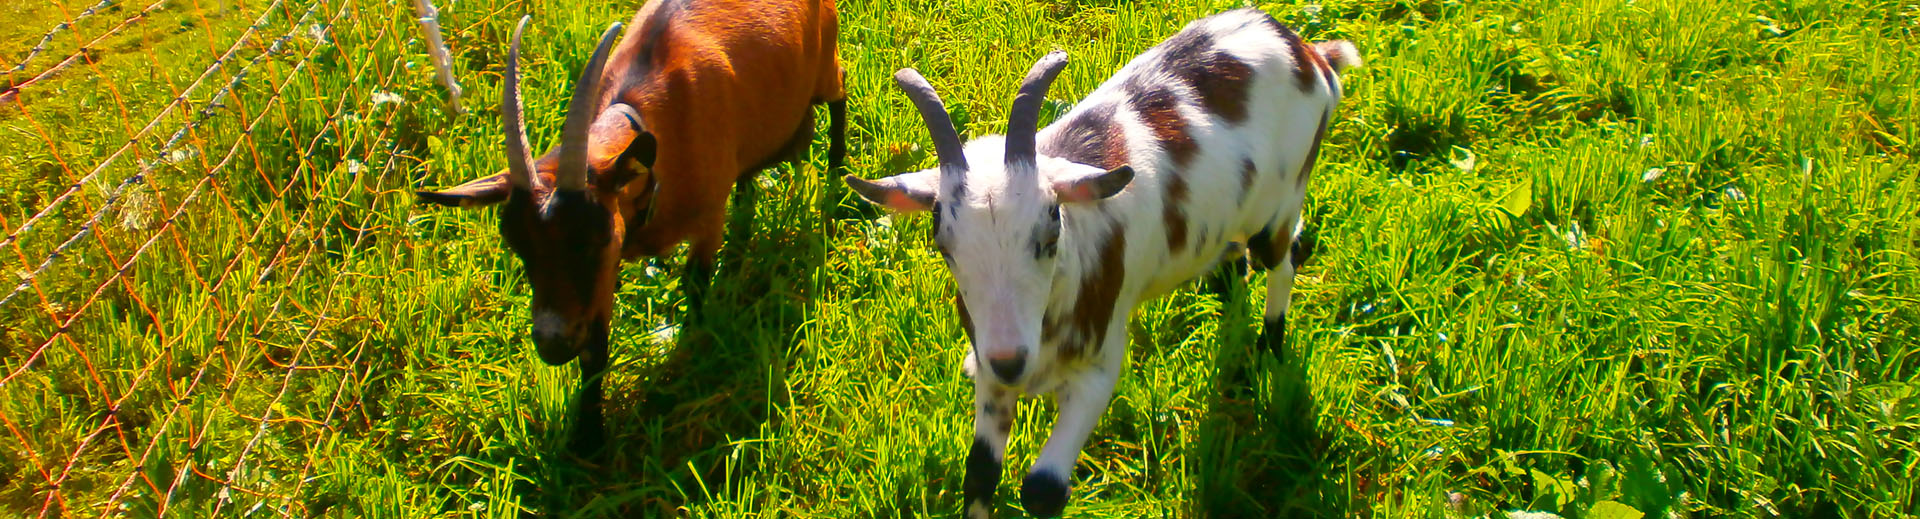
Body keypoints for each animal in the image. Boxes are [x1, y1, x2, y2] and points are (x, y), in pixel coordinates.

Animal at [416, 0, 844, 451]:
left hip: (825, 66)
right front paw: (588, 438)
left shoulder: (705, 217)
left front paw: (688, 356)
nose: (552, 344)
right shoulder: (603, 273)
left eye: (595, 236)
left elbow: (695, 284)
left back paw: (838, 174)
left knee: (840, 95)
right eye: (517, 244)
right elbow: (595, 346)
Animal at [848, 9, 1359, 519]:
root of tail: (1307, 52)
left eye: (1050, 231)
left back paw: (1269, 344)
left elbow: (1043, 490)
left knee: (1281, 259)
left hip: (1282, 199)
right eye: (944, 246)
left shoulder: (1096, 368)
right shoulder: (990, 377)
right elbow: (979, 475)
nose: (1011, 361)